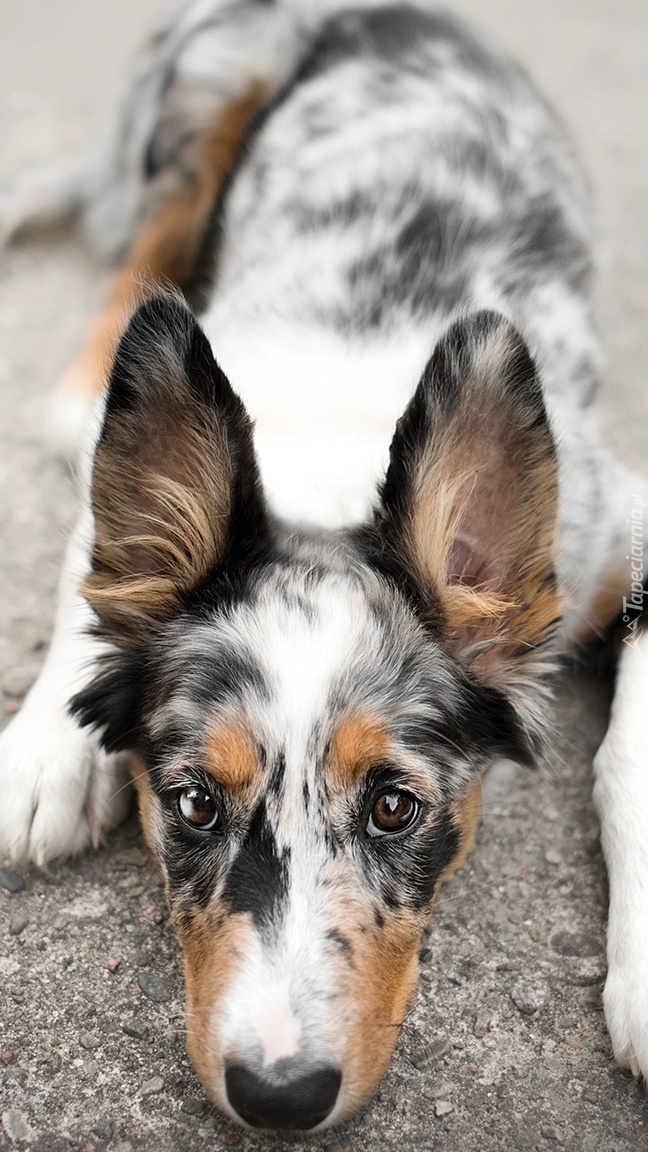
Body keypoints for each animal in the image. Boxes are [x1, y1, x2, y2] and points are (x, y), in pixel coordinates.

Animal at [1, 0, 645, 1133]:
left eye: (395, 807)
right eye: (191, 805)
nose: (279, 1096)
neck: (329, 473)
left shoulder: (624, 520)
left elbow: (627, 750)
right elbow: (96, 555)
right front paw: (46, 750)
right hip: (216, 78)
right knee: (147, 249)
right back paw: (75, 393)